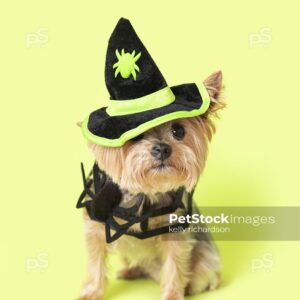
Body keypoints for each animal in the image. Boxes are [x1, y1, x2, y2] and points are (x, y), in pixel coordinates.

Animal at [78, 71, 224, 300]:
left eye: (178, 130)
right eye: (135, 135)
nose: (163, 149)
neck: (143, 193)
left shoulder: (175, 231)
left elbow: (174, 265)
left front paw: (172, 294)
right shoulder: (95, 226)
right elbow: (96, 262)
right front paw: (92, 291)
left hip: (206, 263)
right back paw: (131, 271)